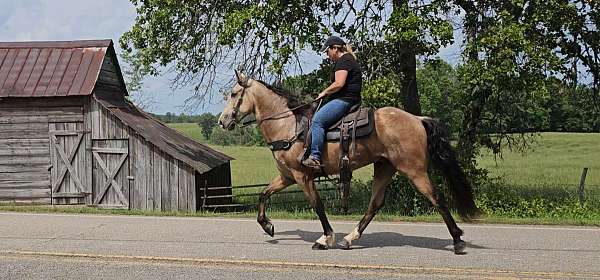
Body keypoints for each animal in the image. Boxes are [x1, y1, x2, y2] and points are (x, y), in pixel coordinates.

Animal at [218, 70, 480, 254]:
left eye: (234, 94)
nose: (222, 121)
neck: (288, 125)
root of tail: (417, 118)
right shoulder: (287, 176)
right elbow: (263, 194)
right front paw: (267, 226)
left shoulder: (303, 176)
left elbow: (317, 206)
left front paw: (325, 238)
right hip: (384, 168)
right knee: (375, 204)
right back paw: (350, 238)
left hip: (414, 171)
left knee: (437, 198)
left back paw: (457, 240)